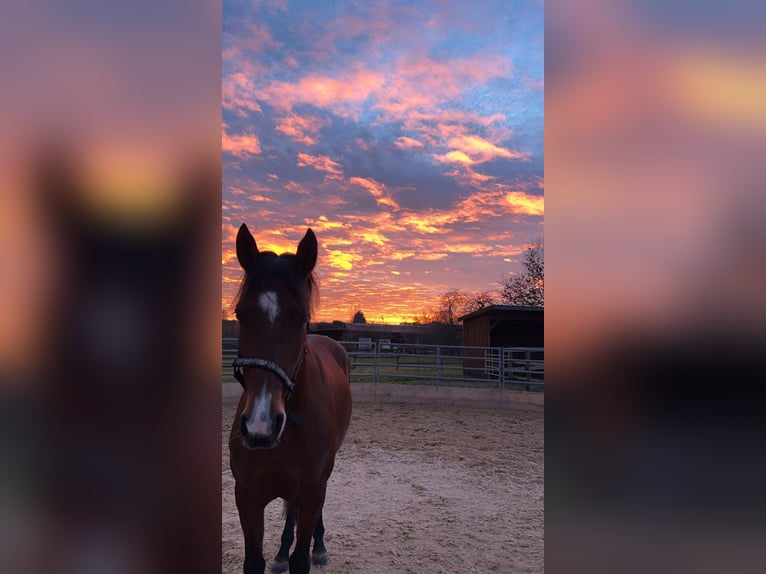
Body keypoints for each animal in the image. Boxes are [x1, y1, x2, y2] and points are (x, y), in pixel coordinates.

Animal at [230, 226, 352, 574]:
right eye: (241, 314)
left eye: (300, 317)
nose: (260, 426)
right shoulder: (246, 498)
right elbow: (253, 562)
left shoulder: (313, 491)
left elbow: (301, 559)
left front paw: (309, 550)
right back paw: (282, 551)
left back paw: (319, 546)